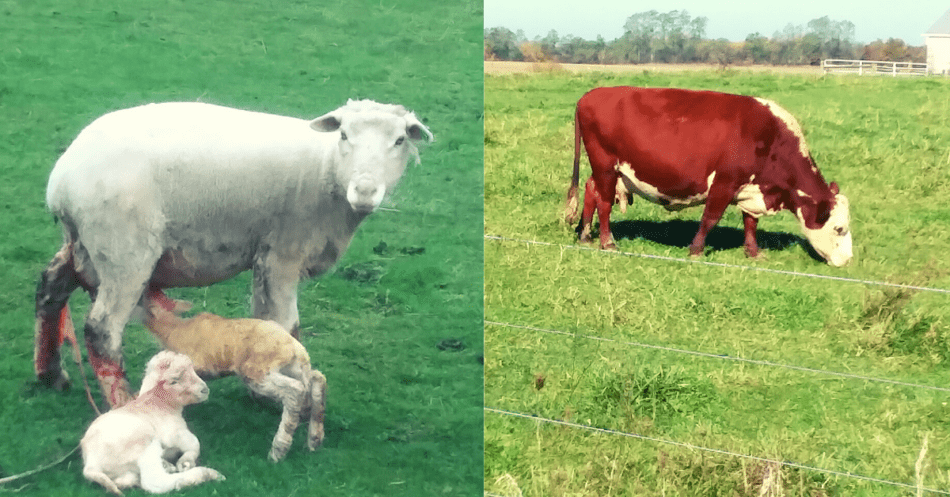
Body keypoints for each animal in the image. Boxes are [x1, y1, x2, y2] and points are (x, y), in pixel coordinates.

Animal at [33, 100, 434, 406]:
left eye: (399, 140)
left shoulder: (265, 253)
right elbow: (287, 325)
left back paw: (50, 374)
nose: (365, 191)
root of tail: (61, 181)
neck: (327, 168)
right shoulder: (284, 252)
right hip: (123, 251)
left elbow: (264, 318)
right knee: (102, 330)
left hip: (86, 247)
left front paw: (261, 387)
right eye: (345, 135)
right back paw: (124, 403)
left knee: (50, 286)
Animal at [80, 350, 225, 494]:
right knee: (155, 482)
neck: (160, 403)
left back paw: (167, 466)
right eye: (174, 381)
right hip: (144, 443)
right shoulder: (172, 433)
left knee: (125, 481)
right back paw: (207, 474)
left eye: (192, 370)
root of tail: (91, 464)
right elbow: (194, 442)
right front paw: (186, 462)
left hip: (123, 469)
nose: (204, 390)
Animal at [564, 87, 856, 266]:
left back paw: (585, 235)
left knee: (591, 190)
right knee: (603, 202)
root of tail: (591, 95)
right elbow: (710, 218)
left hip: (609, 171)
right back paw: (607, 242)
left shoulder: (750, 190)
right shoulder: (725, 183)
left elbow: (750, 222)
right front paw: (696, 250)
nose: (848, 260)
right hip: (605, 164)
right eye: (839, 228)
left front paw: (753, 252)